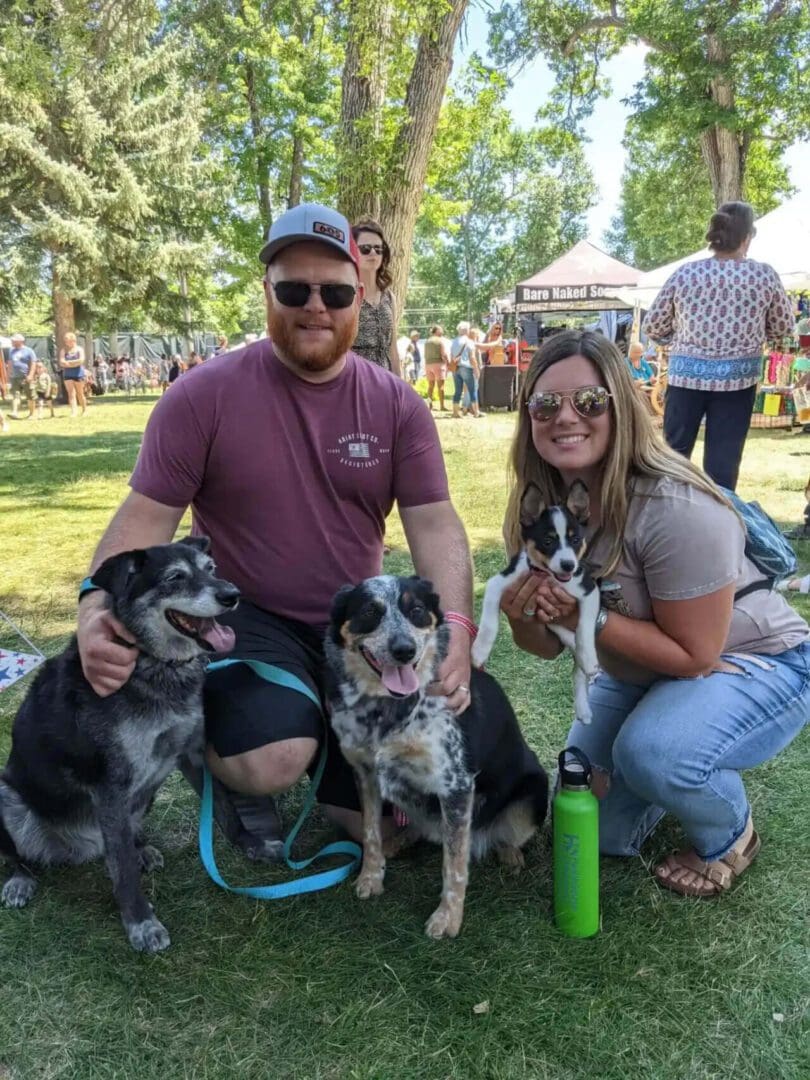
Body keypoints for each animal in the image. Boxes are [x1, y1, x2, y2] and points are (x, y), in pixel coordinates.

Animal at [0, 540, 239, 954]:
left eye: (211, 568)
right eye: (175, 577)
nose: (232, 595)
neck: (155, 666)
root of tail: (78, 849)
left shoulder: (190, 753)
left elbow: (222, 803)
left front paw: (255, 848)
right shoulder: (109, 787)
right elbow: (123, 871)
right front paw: (141, 924)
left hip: (143, 797)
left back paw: (142, 848)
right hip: (6, 795)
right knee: (16, 854)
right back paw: (20, 881)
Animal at [321, 574, 546, 937]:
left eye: (415, 610)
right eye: (369, 611)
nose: (404, 650)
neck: (387, 711)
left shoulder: (455, 785)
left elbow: (453, 865)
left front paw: (448, 918)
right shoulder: (365, 773)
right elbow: (370, 832)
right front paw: (371, 877)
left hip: (535, 791)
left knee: (497, 835)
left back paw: (508, 854)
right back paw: (397, 842)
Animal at [473, 483, 600, 721]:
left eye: (575, 540)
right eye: (547, 541)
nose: (568, 565)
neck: (548, 577)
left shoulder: (589, 591)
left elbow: (584, 629)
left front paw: (589, 658)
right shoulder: (499, 581)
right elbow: (488, 623)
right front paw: (479, 651)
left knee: (578, 668)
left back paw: (584, 706)